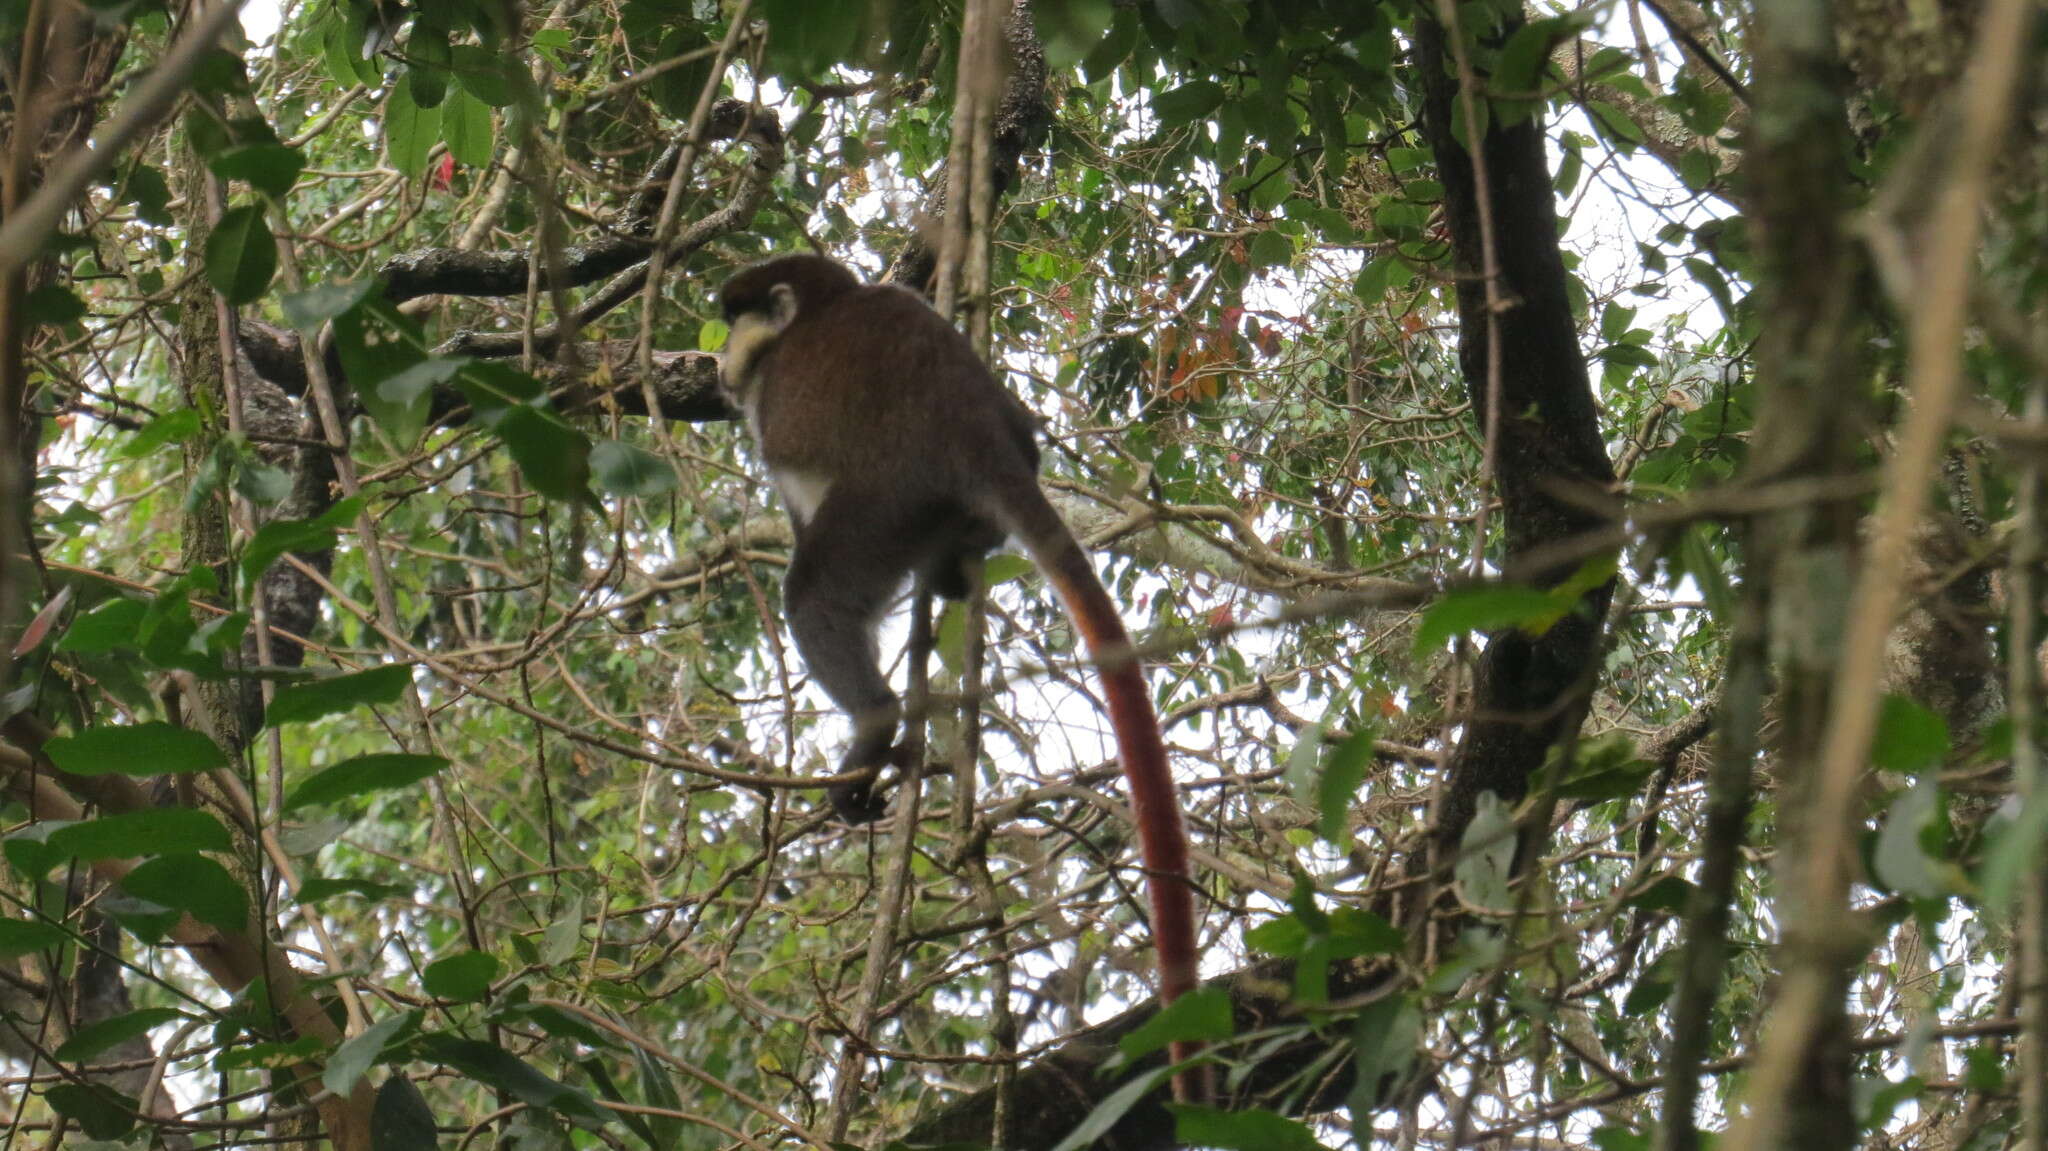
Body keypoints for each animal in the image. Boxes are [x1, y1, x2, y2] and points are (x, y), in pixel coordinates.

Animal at [716, 254, 1204, 1097]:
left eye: (735, 323)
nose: (716, 364)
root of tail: (977, 440)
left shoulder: (777, 407)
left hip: (888, 502)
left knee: (816, 593)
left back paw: (876, 724)